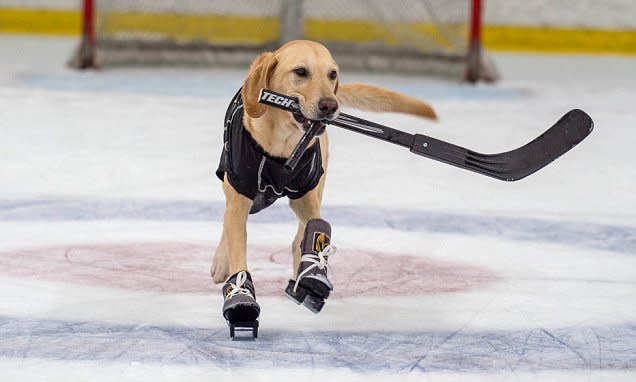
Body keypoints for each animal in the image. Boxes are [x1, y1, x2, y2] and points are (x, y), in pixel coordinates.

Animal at [211, 39, 434, 332]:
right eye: (300, 71)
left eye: (332, 74)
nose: (330, 105)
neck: (281, 147)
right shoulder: (240, 193)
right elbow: (236, 244)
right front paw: (240, 296)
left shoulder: (307, 193)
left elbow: (316, 226)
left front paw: (313, 271)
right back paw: (221, 261)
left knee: (299, 235)